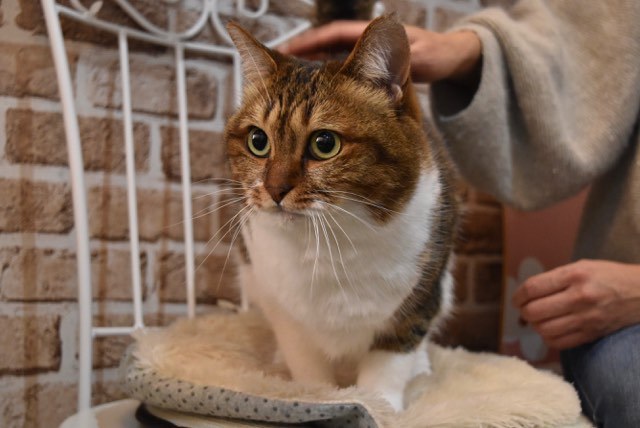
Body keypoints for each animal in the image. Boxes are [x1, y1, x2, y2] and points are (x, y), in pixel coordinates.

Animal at [223, 14, 459, 411]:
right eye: (258, 140)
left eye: (325, 144)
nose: (274, 189)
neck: (333, 242)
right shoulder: (283, 307)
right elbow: (306, 360)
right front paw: (317, 396)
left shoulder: (419, 297)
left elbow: (390, 362)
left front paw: (379, 406)